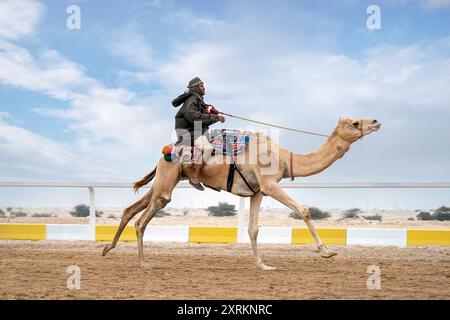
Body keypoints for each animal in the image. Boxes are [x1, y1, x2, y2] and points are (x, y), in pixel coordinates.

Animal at [103, 117, 382, 270]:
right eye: (355, 122)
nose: (376, 121)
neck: (285, 158)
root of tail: (166, 152)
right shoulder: (270, 184)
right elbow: (303, 210)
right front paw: (326, 251)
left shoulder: (258, 191)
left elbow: (253, 228)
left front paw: (262, 264)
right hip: (166, 181)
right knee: (142, 219)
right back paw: (142, 263)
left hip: (162, 181)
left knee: (131, 209)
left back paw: (107, 248)